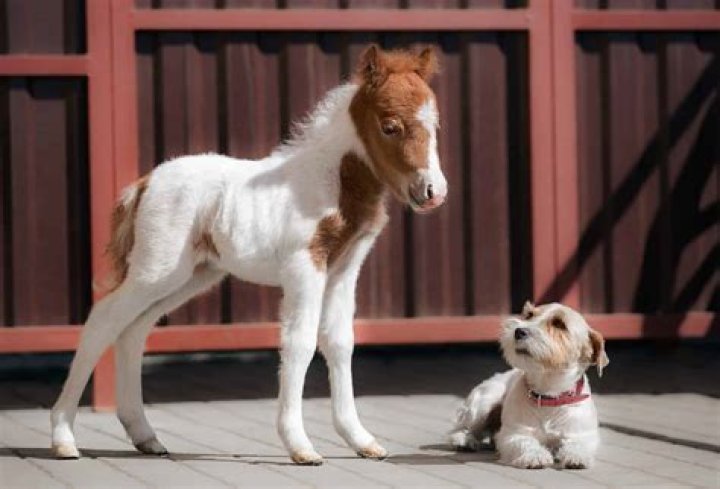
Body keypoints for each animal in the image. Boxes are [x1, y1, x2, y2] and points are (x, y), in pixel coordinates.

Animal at [51, 45, 447, 465]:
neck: (330, 180)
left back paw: (146, 437)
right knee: (104, 319)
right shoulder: (303, 266)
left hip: (191, 276)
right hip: (156, 269)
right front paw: (300, 446)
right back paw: (63, 438)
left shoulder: (343, 269)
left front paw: (360, 440)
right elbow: (301, 342)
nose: (432, 192)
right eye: (390, 126)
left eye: (435, 125)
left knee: (133, 330)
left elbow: (340, 342)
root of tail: (145, 183)